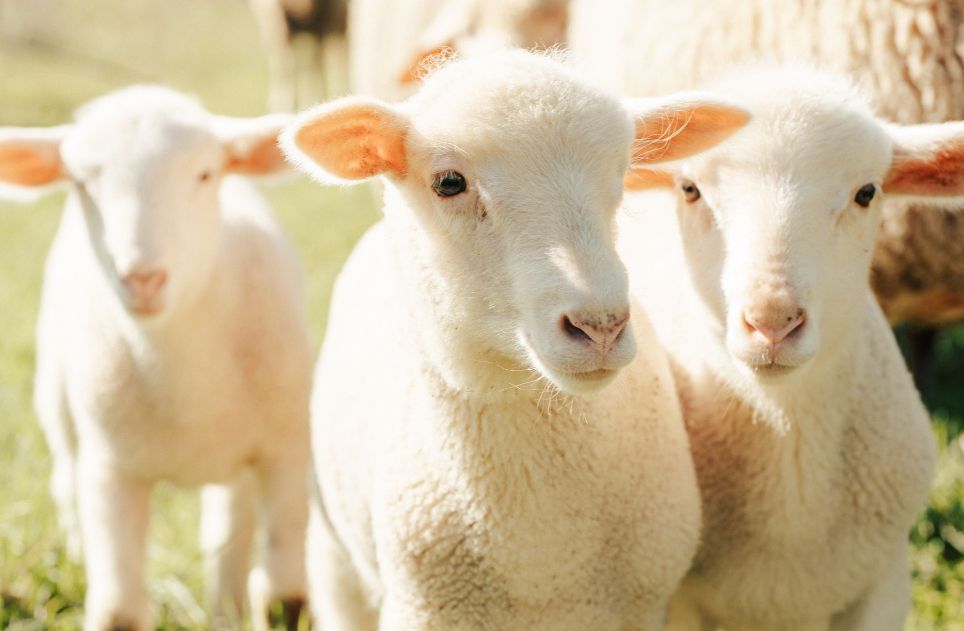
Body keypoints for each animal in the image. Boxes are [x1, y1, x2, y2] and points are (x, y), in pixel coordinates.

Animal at [0, 86, 312, 631]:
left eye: (205, 174)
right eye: (82, 182)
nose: (142, 279)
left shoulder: (288, 447)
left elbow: (283, 596)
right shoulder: (110, 466)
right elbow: (120, 610)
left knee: (228, 527)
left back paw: (225, 608)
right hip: (60, 414)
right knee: (66, 487)